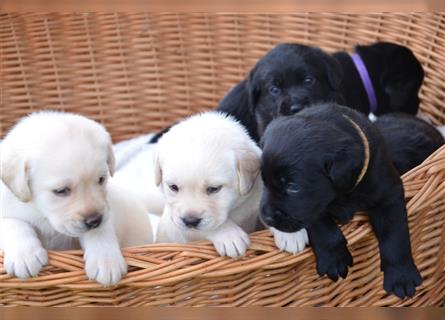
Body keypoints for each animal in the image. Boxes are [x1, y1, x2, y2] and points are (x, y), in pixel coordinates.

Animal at [0, 112, 153, 284]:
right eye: (61, 191)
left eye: (101, 179)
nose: (94, 221)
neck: (40, 213)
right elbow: (14, 224)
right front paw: (24, 255)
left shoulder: (106, 212)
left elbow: (102, 231)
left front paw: (105, 259)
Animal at [262, 103, 422, 300]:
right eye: (263, 180)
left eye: (293, 187)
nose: (266, 217)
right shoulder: (313, 208)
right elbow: (322, 227)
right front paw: (334, 259)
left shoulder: (389, 192)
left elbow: (395, 235)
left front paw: (401, 276)